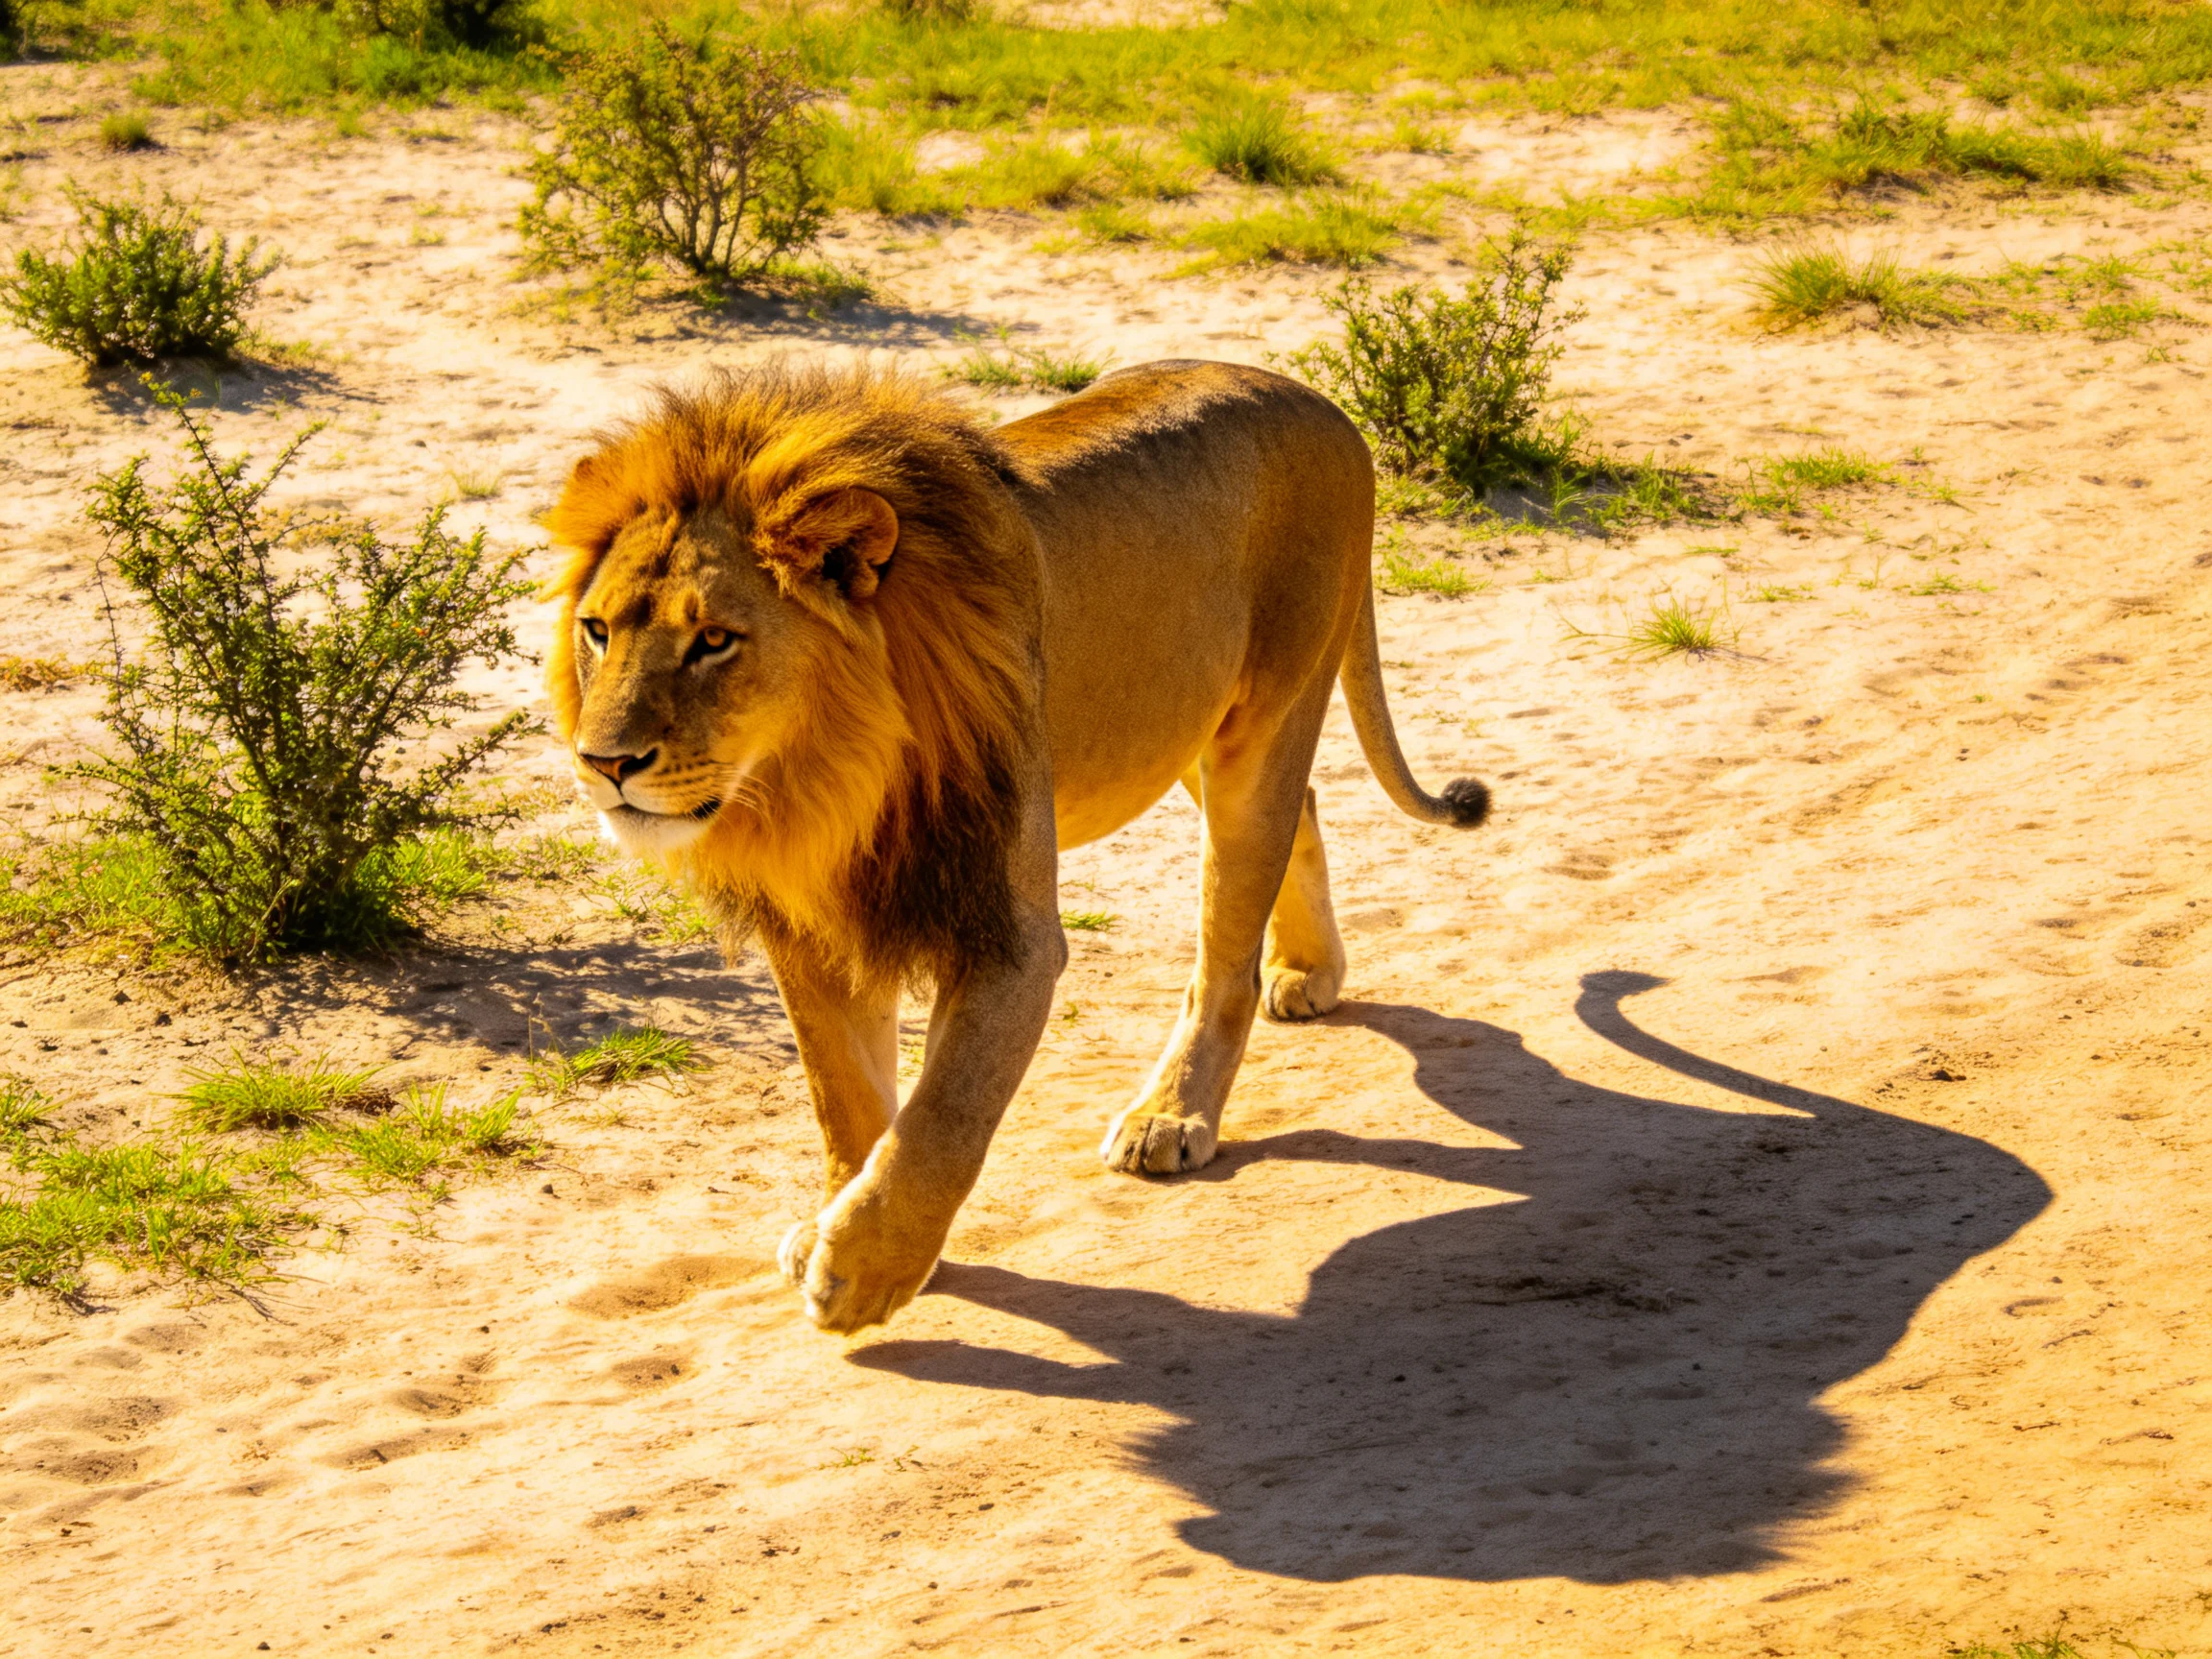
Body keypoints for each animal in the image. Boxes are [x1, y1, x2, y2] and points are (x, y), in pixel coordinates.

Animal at [545, 359, 1487, 1333]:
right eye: (598, 631)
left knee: (1227, 947)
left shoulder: (1007, 931)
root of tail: (1318, 401)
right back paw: (1308, 970)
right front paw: (838, 1216)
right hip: (1183, 729)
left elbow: (946, 1110)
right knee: (1304, 807)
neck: (822, 779)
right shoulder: (814, 923)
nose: (603, 761)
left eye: (714, 641)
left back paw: (1171, 1113)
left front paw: (864, 1269)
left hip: (1265, 721)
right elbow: (842, 1092)